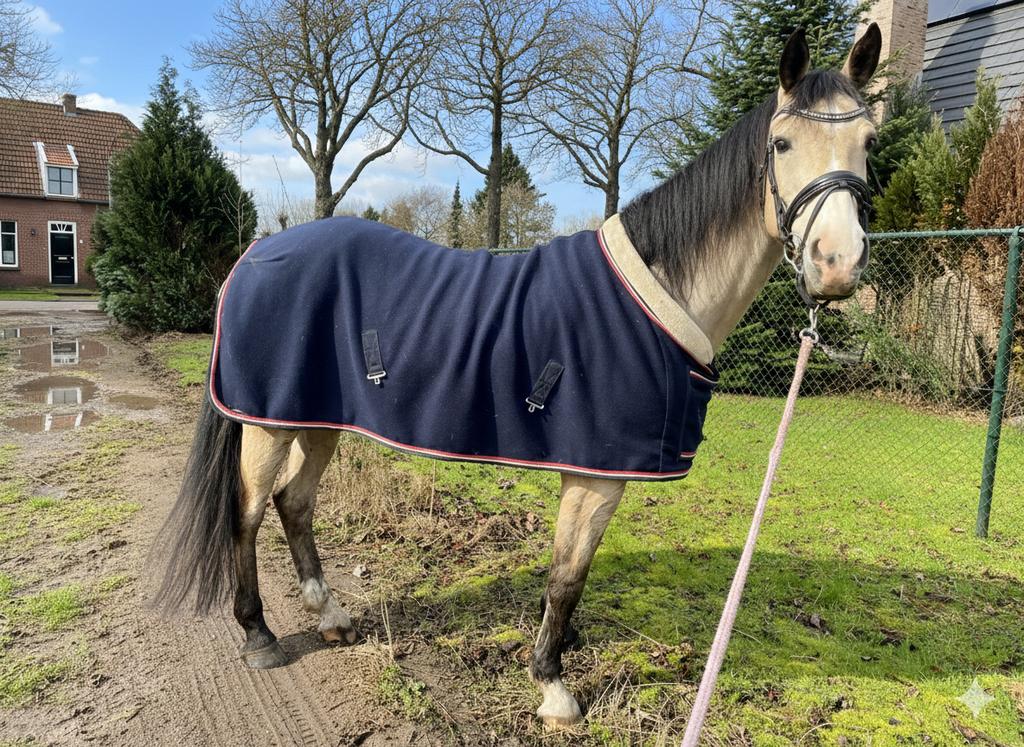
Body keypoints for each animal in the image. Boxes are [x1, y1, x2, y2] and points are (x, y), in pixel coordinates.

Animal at [154, 25, 882, 730]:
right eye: (782, 143)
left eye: (869, 142)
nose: (837, 265)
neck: (657, 298)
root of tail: (256, 251)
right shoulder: (593, 477)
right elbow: (567, 577)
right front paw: (554, 687)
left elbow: (571, 577)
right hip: (266, 422)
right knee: (248, 515)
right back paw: (259, 635)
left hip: (316, 419)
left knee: (294, 503)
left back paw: (331, 617)